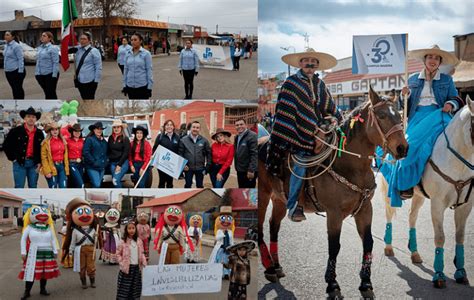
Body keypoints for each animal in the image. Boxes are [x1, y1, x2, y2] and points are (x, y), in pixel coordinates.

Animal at [258, 86, 410, 298]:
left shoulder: (365, 209)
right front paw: (332, 284)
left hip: (280, 199)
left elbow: (368, 242)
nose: (402, 148)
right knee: (258, 229)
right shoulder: (334, 213)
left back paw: (277, 266)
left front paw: (366, 283)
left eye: (399, 115)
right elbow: (334, 246)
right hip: (262, 195)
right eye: (381, 115)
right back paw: (269, 267)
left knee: (273, 226)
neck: (350, 165)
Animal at [382, 96, 474, 288]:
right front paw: (439, 275)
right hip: (388, 192)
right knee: (389, 215)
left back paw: (414, 252)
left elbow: (460, 236)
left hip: (418, 196)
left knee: (412, 217)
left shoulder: (466, 205)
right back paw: (388, 247)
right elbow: (440, 237)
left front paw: (461, 272)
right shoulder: (437, 204)